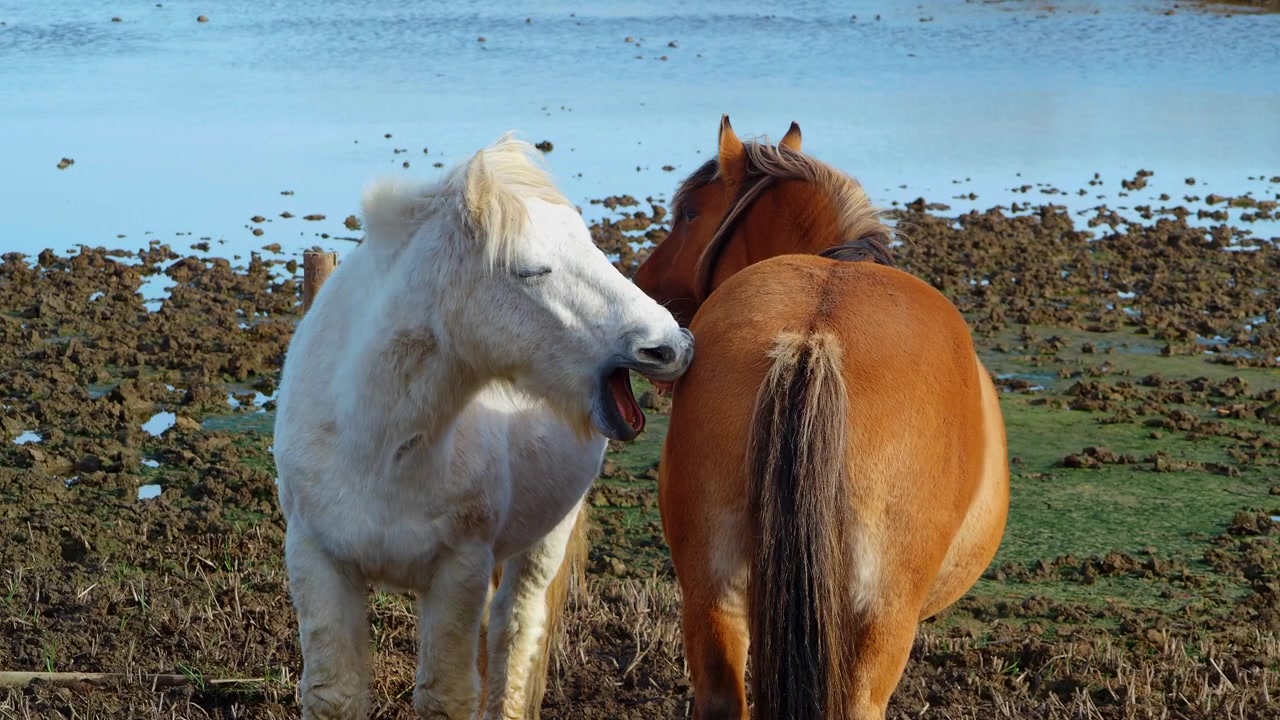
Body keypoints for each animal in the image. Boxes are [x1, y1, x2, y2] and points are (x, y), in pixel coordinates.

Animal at [273, 133, 694, 720]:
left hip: (543, 542)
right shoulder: (317, 558)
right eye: (531, 270)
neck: (377, 449)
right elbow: (336, 695)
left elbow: (445, 696)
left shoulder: (460, 569)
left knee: (513, 636)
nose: (671, 347)